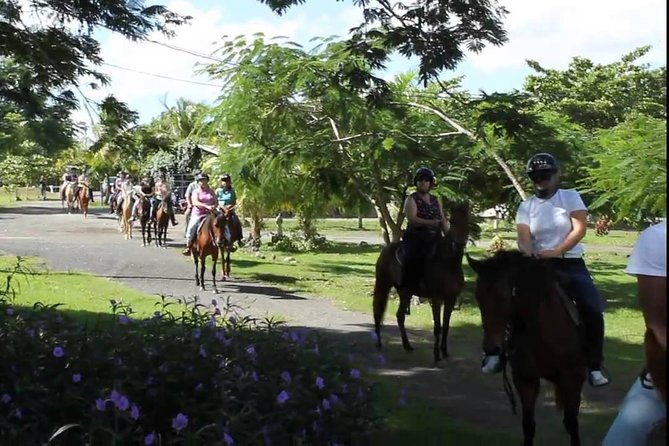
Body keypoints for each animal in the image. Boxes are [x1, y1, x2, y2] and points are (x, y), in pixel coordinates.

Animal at [370, 202, 470, 362]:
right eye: (453, 222)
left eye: (467, 223)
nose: (459, 245)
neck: (447, 264)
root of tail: (387, 249)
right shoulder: (436, 299)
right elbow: (438, 327)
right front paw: (436, 355)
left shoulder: (451, 299)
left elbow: (446, 326)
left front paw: (444, 351)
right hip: (383, 284)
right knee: (378, 310)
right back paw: (379, 343)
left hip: (405, 292)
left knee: (400, 316)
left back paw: (407, 346)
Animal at [464, 251, 584, 446]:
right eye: (478, 296)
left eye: (503, 296)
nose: (491, 348)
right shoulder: (525, 379)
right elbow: (528, 425)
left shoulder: (572, 377)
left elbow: (571, 422)